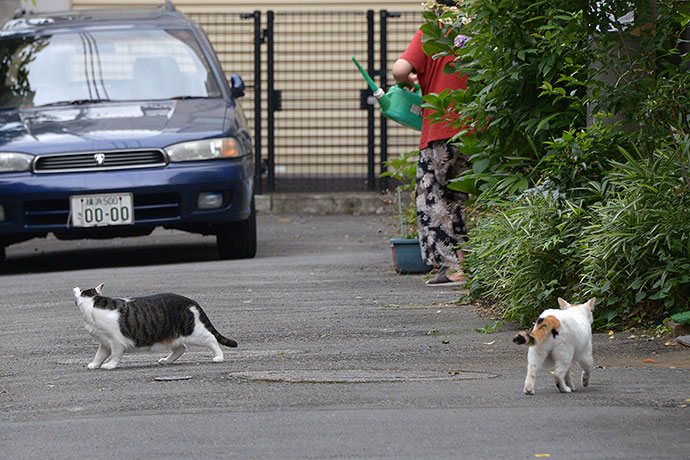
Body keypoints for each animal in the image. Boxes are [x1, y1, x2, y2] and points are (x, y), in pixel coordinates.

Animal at [73, 284, 238, 370]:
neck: (93, 302)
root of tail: (189, 301)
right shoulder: (105, 342)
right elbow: (99, 354)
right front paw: (94, 364)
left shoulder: (116, 341)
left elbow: (115, 355)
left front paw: (110, 365)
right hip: (172, 334)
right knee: (180, 348)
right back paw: (167, 361)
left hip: (193, 331)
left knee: (211, 339)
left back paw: (219, 357)